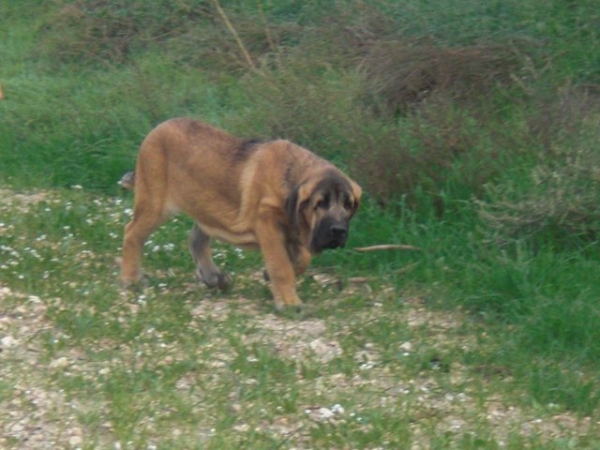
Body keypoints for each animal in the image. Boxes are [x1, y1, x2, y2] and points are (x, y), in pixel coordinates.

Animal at [119, 118, 358, 312]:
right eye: (320, 204)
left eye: (348, 205)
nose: (338, 230)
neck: (291, 176)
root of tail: (156, 129)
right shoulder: (267, 223)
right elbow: (280, 265)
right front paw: (289, 303)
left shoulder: (292, 231)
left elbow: (301, 260)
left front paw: (271, 275)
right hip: (154, 204)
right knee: (132, 233)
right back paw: (131, 279)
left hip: (206, 207)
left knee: (196, 239)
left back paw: (213, 277)